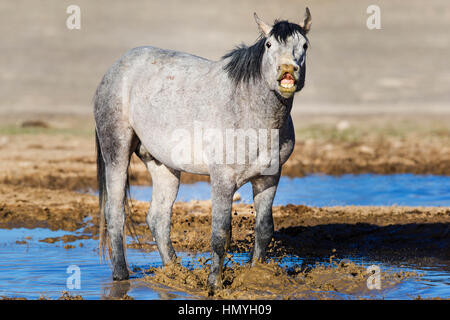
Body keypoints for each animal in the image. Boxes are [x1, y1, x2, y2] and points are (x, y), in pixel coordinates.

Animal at [94, 8, 312, 294]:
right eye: (269, 45)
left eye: (305, 45)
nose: (287, 71)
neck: (250, 112)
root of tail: (115, 68)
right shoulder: (222, 179)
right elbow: (220, 234)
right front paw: (214, 285)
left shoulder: (269, 178)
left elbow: (264, 229)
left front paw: (256, 276)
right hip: (116, 153)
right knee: (115, 213)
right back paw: (121, 275)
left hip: (164, 166)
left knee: (158, 218)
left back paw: (174, 273)